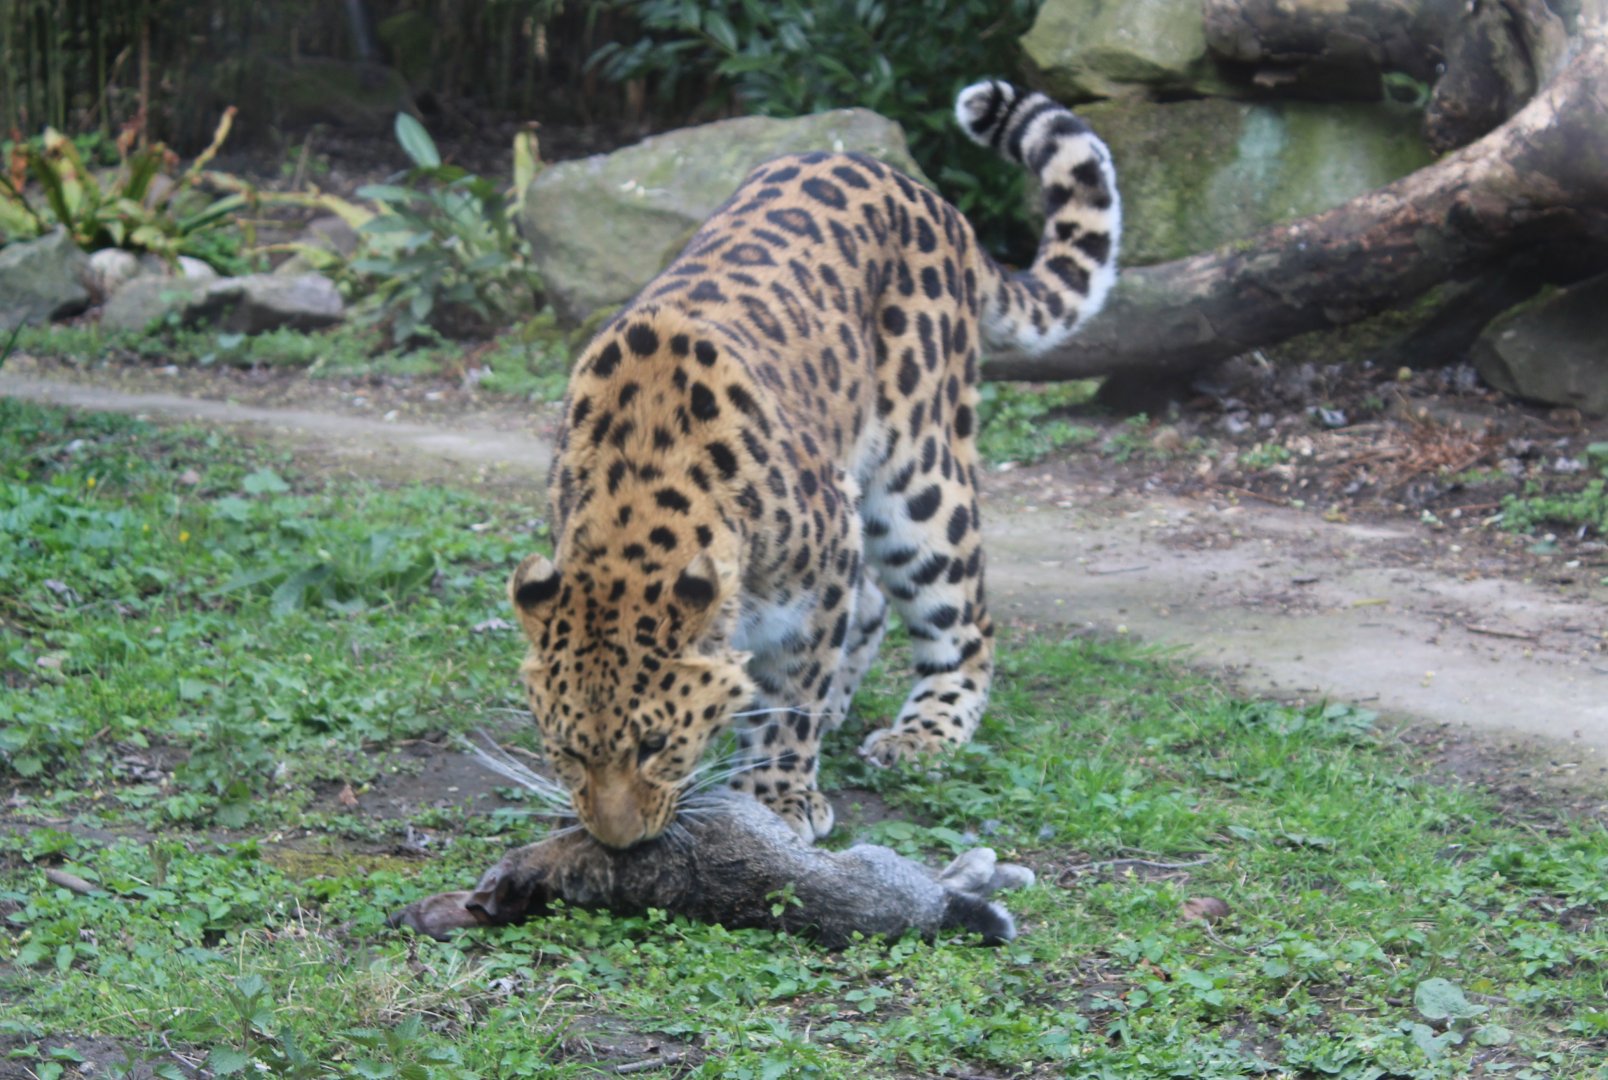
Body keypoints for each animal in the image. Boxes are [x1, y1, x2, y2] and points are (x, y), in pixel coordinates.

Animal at [507, 79, 1121, 847]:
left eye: (653, 744)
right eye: (564, 749)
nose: (618, 843)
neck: (639, 492)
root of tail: (921, 192)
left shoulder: (822, 567)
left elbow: (790, 696)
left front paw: (776, 797)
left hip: (920, 480)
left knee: (963, 624)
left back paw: (920, 733)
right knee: (875, 606)